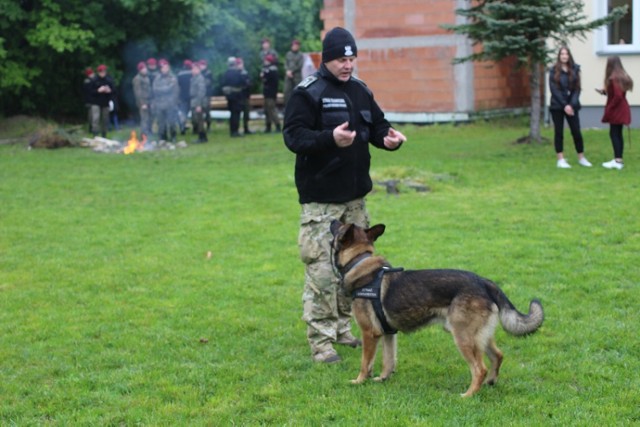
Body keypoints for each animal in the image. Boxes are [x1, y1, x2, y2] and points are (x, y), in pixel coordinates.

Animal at [330, 221, 544, 398]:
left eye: (339, 224)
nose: (331, 219)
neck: (358, 261)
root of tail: (484, 282)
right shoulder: (388, 333)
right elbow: (388, 360)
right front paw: (383, 378)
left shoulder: (369, 333)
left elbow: (365, 362)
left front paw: (359, 381)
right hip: (480, 336)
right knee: (498, 356)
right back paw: (490, 382)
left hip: (463, 337)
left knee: (479, 368)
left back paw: (468, 395)